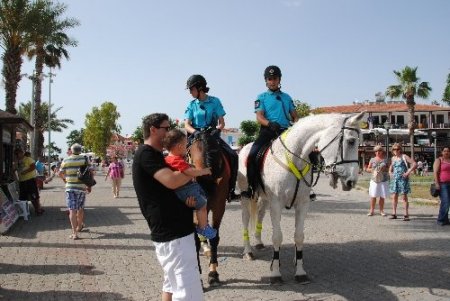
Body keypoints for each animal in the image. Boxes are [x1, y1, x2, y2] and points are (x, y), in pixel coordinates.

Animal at [189, 129, 232, 286]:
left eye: (218, 152)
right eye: (189, 153)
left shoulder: (219, 206)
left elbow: (214, 237)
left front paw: (213, 272)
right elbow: (194, 239)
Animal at [237, 111, 364, 282]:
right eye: (351, 141)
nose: (352, 181)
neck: (293, 159)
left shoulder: (302, 204)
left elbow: (299, 236)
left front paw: (300, 270)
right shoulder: (276, 204)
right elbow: (277, 237)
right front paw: (275, 273)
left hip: (264, 199)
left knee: (260, 215)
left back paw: (258, 242)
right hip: (246, 196)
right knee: (245, 219)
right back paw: (248, 251)